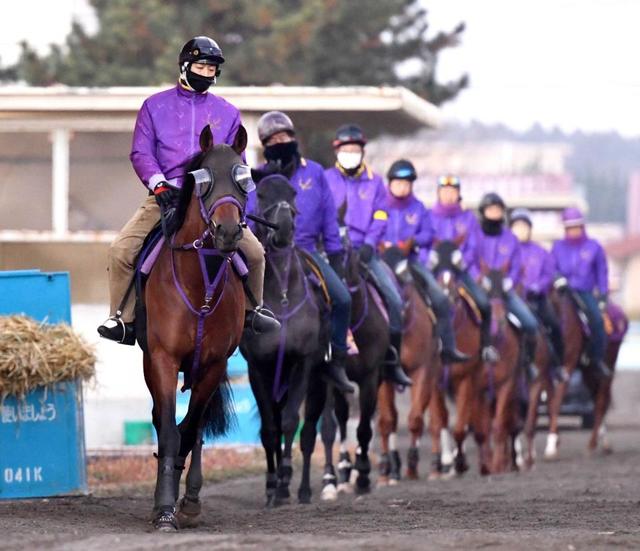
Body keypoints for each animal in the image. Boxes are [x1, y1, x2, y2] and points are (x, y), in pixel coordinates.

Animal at [142, 125, 250, 532]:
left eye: (244, 178)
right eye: (203, 180)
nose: (228, 230)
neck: (199, 283)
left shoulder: (214, 365)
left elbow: (189, 431)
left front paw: (182, 503)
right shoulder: (162, 359)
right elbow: (169, 430)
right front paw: (163, 509)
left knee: (197, 427)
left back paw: (189, 496)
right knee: (165, 422)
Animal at [240, 175, 330, 506]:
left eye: (293, 193)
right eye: (262, 194)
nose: (285, 228)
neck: (282, 294)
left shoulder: (302, 363)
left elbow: (292, 422)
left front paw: (285, 481)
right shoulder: (258, 367)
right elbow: (269, 428)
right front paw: (272, 486)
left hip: (318, 380)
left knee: (310, 432)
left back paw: (302, 489)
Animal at [376, 252, 440, 486]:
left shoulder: (423, 369)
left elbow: (415, 419)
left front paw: (412, 466)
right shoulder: (385, 374)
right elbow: (387, 420)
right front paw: (385, 470)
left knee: (436, 418)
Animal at [544, 292, 628, 460]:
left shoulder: (567, 367)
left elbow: (556, 402)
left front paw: (551, 445)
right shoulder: (549, 371)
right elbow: (550, 402)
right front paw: (556, 439)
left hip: (608, 364)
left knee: (601, 400)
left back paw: (592, 445)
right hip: (587, 371)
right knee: (596, 400)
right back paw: (604, 441)